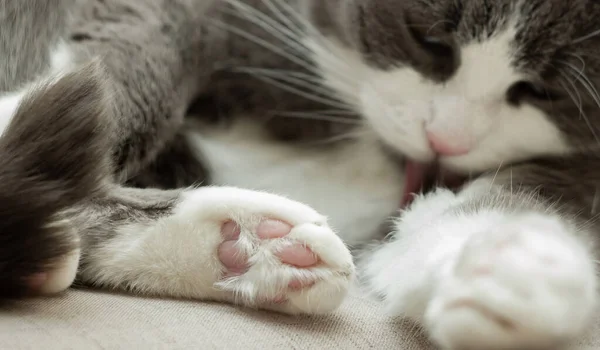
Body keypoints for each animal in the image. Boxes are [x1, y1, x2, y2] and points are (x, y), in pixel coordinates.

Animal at [1, 0, 600, 350]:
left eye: (542, 91)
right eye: (425, 39)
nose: (443, 139)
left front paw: (519, 270)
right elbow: (129, 63)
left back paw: (252, 248)